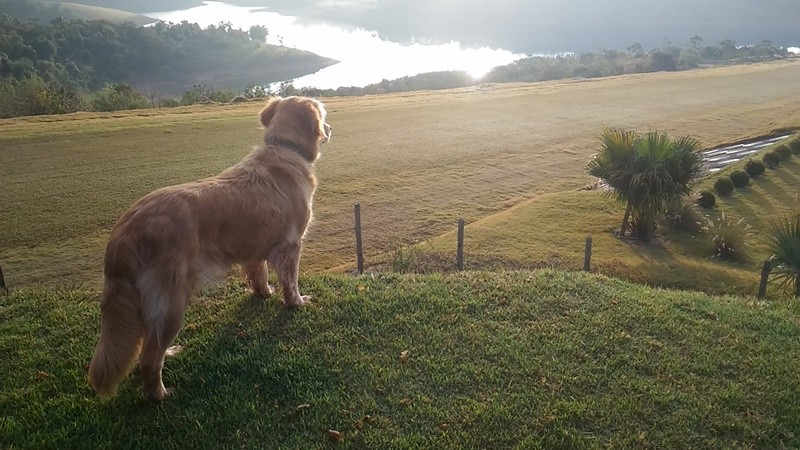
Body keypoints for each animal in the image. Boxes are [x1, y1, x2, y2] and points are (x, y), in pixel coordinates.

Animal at [84, 96, 328, 402]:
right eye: (324, 115)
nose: (330, 128)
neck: (284, 147)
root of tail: (124, 232)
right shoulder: (291, 245)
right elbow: (291, 281)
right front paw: (296, 302)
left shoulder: (255, 244)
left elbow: (258, 273)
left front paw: (263, 293)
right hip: (172, 299)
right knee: (148, 359)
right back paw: (160, 395)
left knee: (149, 340)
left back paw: (168, 355)